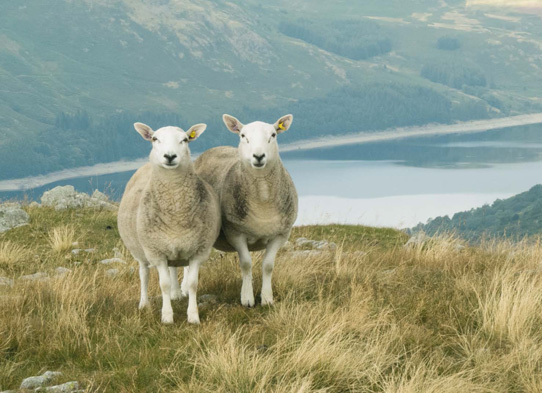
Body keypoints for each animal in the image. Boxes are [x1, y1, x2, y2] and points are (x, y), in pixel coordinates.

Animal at [118, 121, 221, 322]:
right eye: (154, 138)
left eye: (185, 139)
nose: (170, 156)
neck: (176, 216)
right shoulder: (156, 252)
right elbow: (163, 284)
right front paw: (167, 317)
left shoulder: (198, 250)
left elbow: (193, 283)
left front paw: (193, 316)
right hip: (141, 250)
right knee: (144, 274)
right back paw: (144, 303)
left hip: (175, 248)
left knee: (174, 269)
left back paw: (176, 293)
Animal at [194, 113, 298, 306]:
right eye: (243, 135)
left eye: (273, 135)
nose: (258, 156)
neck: (262, 200)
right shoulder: (236, 233)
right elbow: (246, 264)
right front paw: (247, 298)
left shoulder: (281, 234)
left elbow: (268, 265)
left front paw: (267, 298)